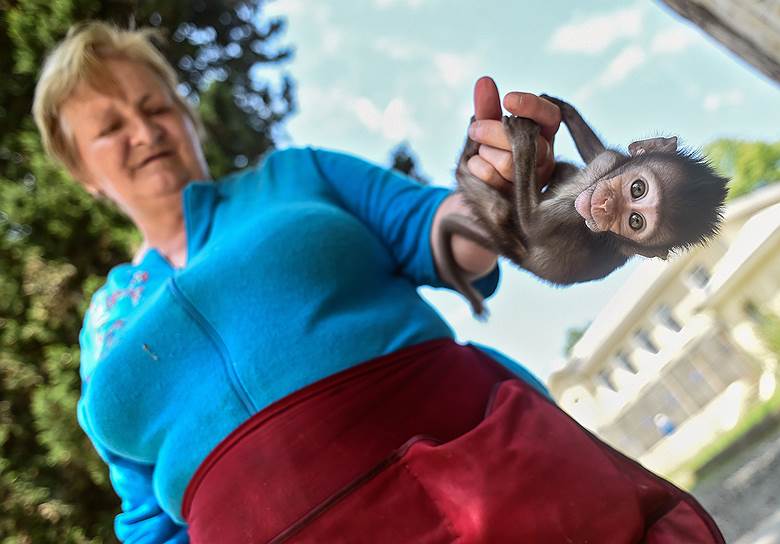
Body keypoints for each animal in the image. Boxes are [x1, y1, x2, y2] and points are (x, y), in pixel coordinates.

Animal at [438, 93, 732, 314]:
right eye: (638, 188)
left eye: (635, 221)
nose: (604, 207)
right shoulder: (608, 161)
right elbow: (596, 152)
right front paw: (559, 105)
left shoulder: (572, 217)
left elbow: (533, 225)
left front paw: (522, 140)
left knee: (493, 205)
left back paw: (466, 158)